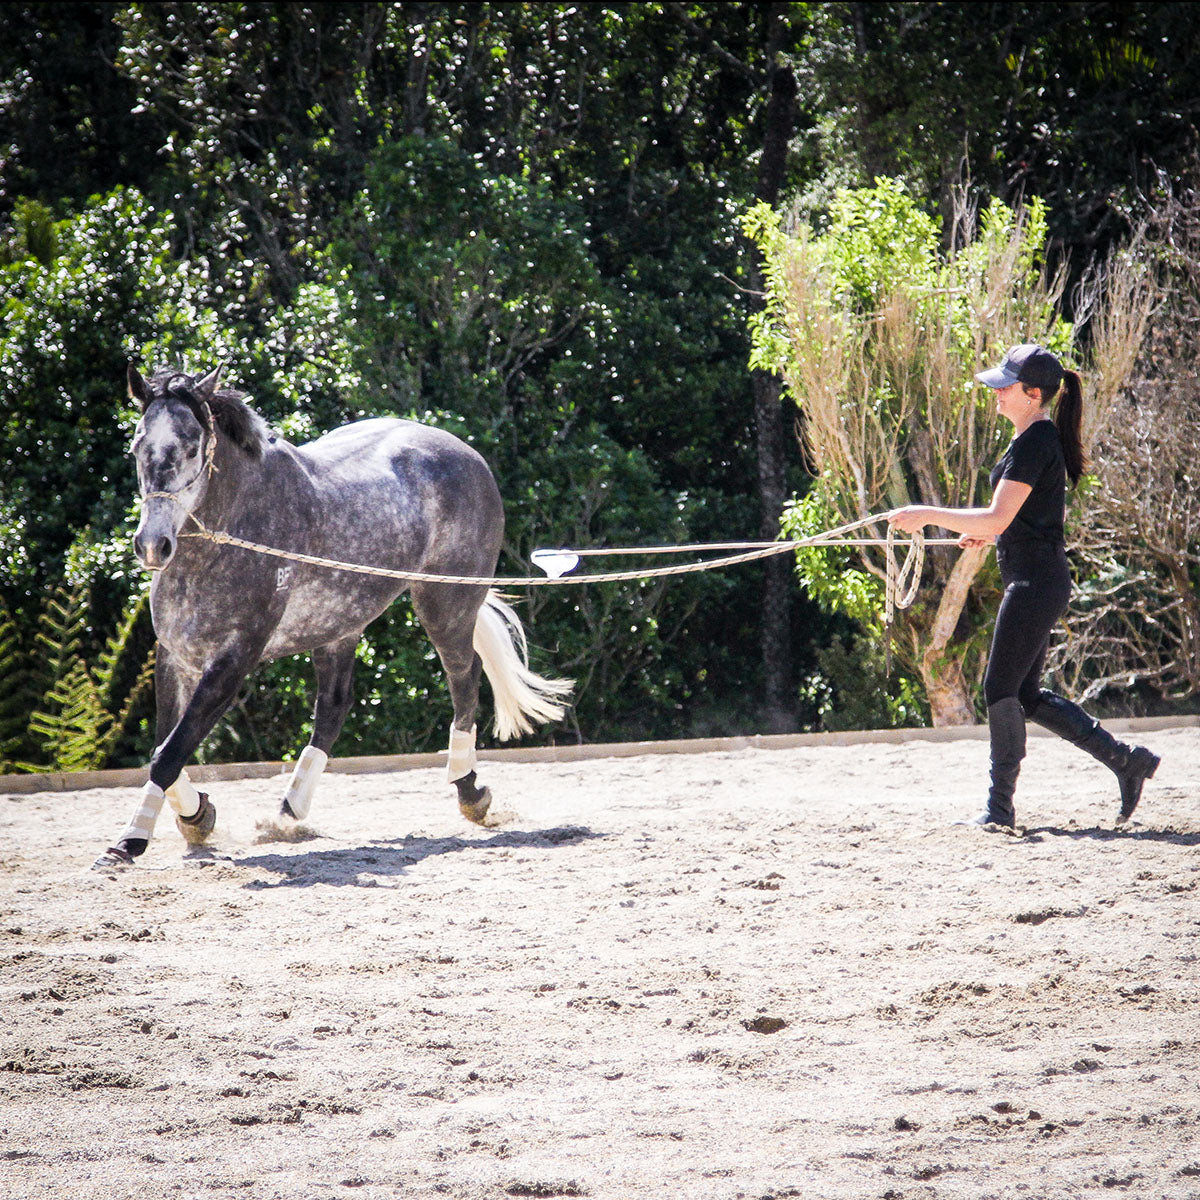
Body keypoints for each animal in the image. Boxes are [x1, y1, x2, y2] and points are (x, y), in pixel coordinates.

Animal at [94, 360, 571, 868]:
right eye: (137, 447)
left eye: (190, 447)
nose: (152, 546)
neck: (225, 539)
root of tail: (465, 452)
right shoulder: (175, 655)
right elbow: (163, 747)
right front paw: (195, 817)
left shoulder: (235, 659)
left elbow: (169, 752)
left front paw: (132, 841)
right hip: (338, 625)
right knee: (334, 708)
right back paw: (288, 814)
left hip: (444, 605)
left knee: (465, 679)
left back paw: (470, 792)